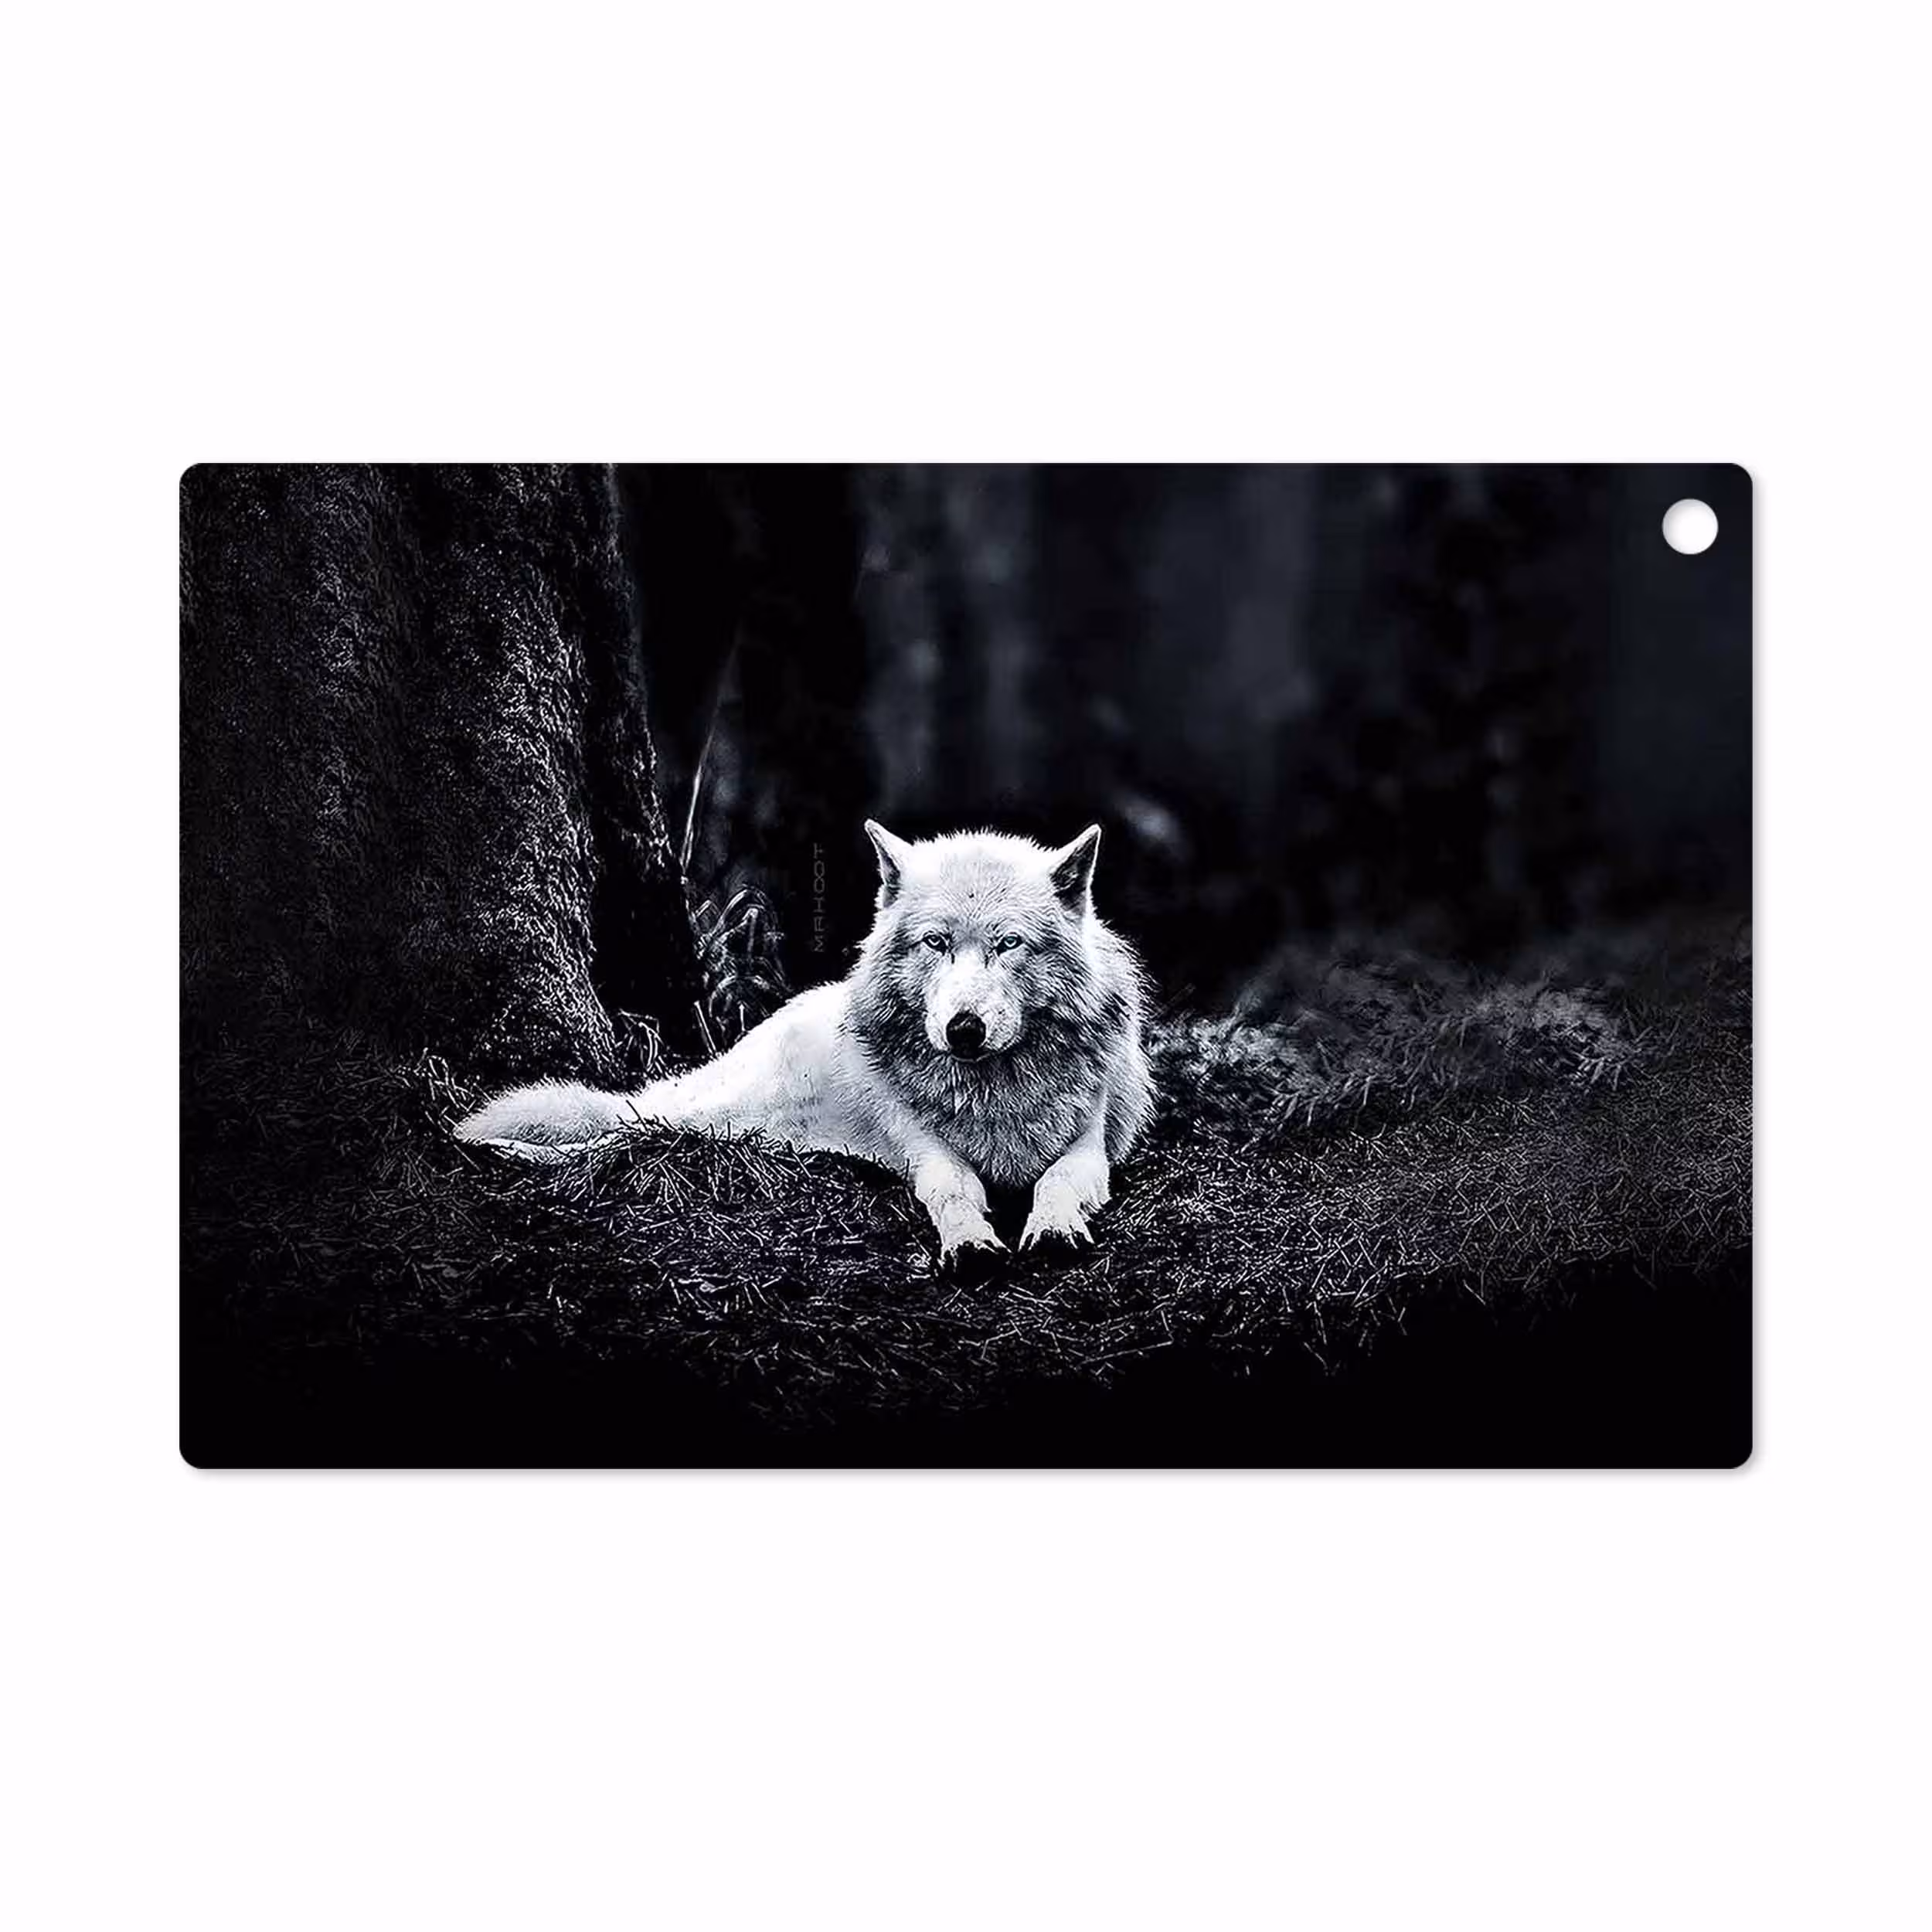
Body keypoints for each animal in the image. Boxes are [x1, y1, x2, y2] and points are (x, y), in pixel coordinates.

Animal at [454, 822, 1155, 1267]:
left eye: (1009, 944)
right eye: (936, 943)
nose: (964, 1029)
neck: (993, 1093)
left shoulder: (1090, 1150)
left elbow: (1056, 1182)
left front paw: (1054, 1228)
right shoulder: (926, 1153)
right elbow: (954, 1191)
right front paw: (969, 1244)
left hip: (750, 1134)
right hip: (716, 1115)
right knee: (624, 1131)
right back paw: (504, 1148)